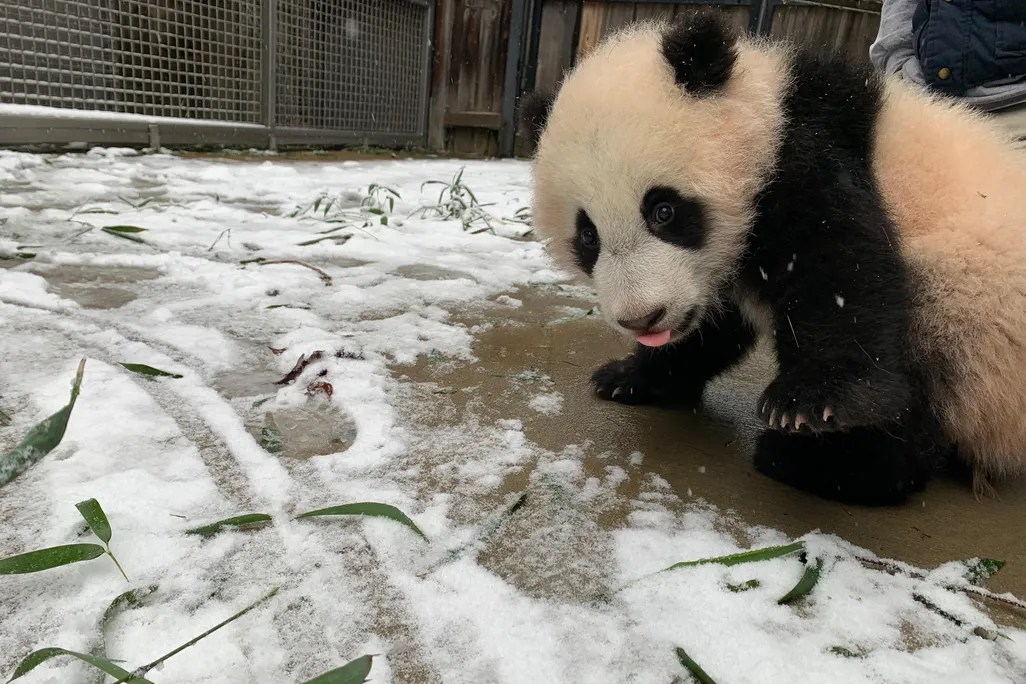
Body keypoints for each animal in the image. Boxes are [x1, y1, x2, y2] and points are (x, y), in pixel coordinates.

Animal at [520, 9, 1026, 506]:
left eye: (663, 211)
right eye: (588, 237)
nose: (643, 318)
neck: (766, 111)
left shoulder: (806, 156)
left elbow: (837, 268)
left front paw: (809, 403)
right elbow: (714, 326)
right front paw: (632, 376)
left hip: (973, 301)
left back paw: (830, 464)